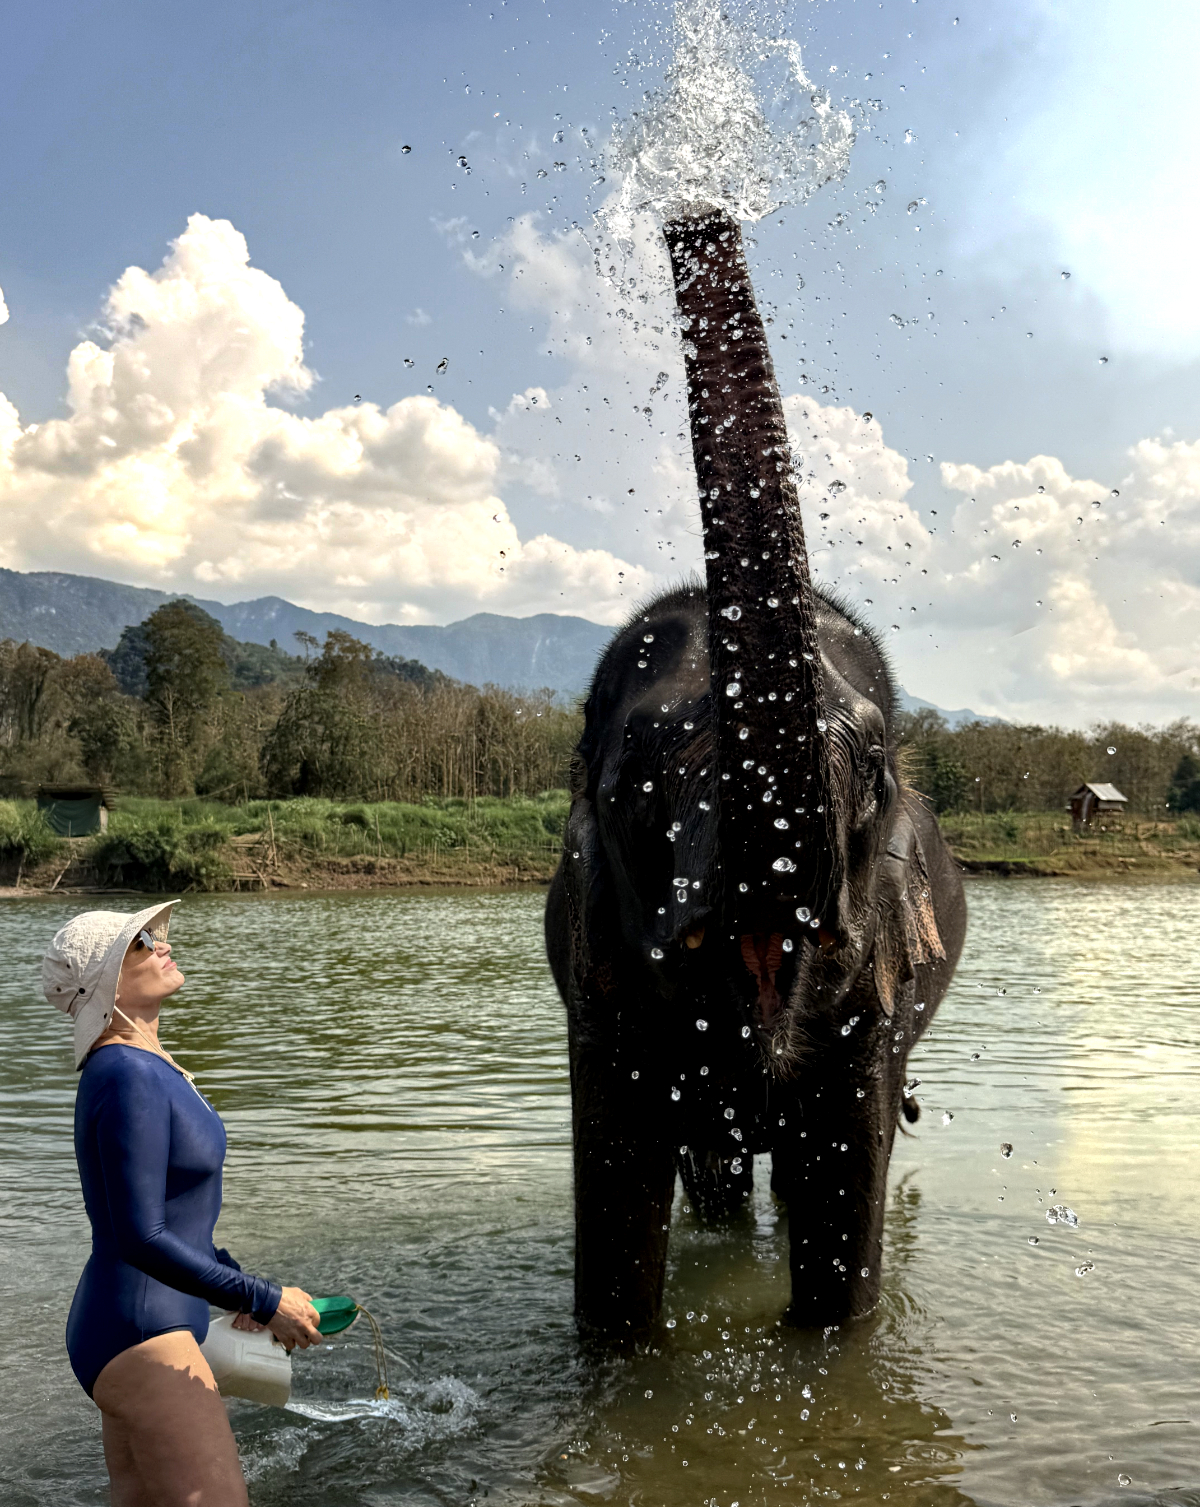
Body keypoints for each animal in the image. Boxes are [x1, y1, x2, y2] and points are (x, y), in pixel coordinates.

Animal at [544, 209, 967, 1343]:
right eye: (630, 786)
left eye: (871, 771)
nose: (695, 219)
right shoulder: (596, 998)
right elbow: (617, 1214)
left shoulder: (874, 1006)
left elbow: (843, 1208)